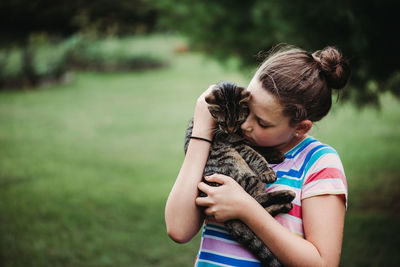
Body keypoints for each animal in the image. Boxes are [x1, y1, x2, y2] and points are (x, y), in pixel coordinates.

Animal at [184, 82, 294, 267]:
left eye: (239, 120)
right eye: (222, 121)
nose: (230, 130)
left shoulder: (243, 139)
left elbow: (259, 147)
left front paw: (275, 153)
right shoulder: (236, 144)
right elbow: (256, 155)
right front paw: (268, 170)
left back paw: (284, 204)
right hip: (245, 176)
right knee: (254, 202)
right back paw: (285, 196)